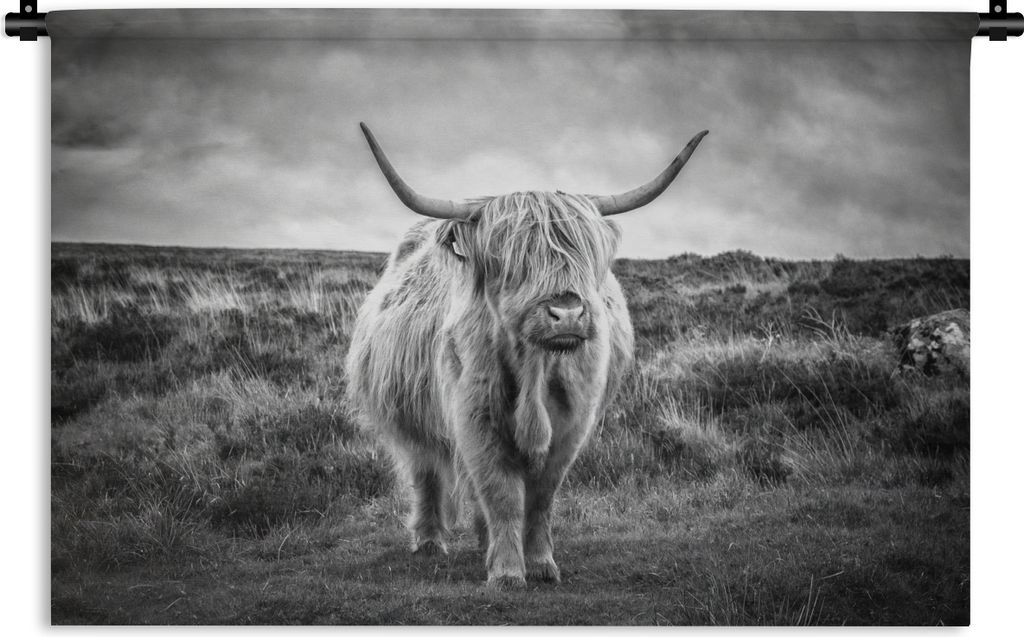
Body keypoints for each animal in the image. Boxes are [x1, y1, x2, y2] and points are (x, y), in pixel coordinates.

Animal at [345, 123, 707, 589]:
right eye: (511, 259)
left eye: (584, 254)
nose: (567, 312)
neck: (535, 370)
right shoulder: (474, 418)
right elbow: (500, 493)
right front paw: (506, 572)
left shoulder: (572, 425)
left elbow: (540, 498)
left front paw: (539, 563)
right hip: (409, 417)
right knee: (426, 472)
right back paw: (429, 541)